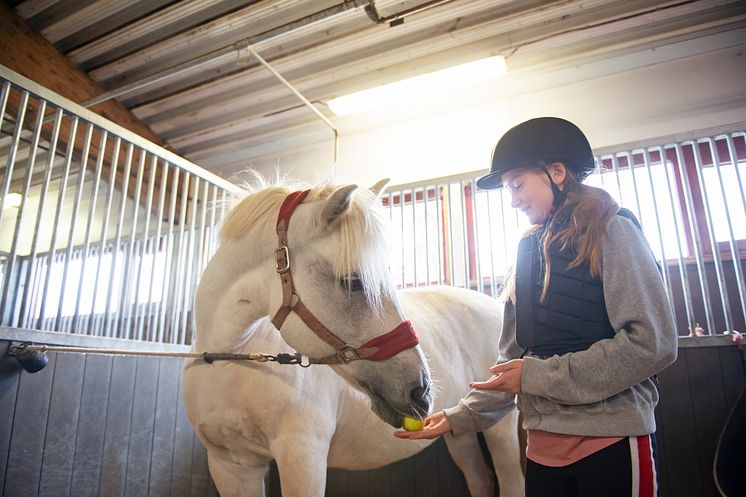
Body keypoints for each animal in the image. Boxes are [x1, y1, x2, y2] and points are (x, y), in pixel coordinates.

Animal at [182, 178, 520, 496]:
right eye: (352, 282)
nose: (421, 392)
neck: (232, 357)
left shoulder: (302, 456)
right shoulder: (232, 466)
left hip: (500, 428)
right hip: (457, 431)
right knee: (480, 478)